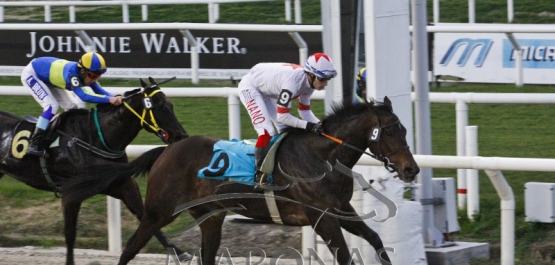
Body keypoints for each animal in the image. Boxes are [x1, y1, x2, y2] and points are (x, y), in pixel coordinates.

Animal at [0, 76, 191, 264]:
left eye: (171, 105)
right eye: (160, 107)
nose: (181, 136)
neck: (93, 138)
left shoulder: (123, 184)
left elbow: (146, 216)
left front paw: (180, 252)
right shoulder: (71, 194)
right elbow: (70, 235)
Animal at [65, 96, 420, 262]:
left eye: (404, 128)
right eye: (390, 131)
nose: (411, 170)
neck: (322, 157)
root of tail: (168, 149)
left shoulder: (340, 210)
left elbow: (376, 240)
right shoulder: (322, 218)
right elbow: (345, 257)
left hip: (211, 217)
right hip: (158, 212)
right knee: (129, 250)